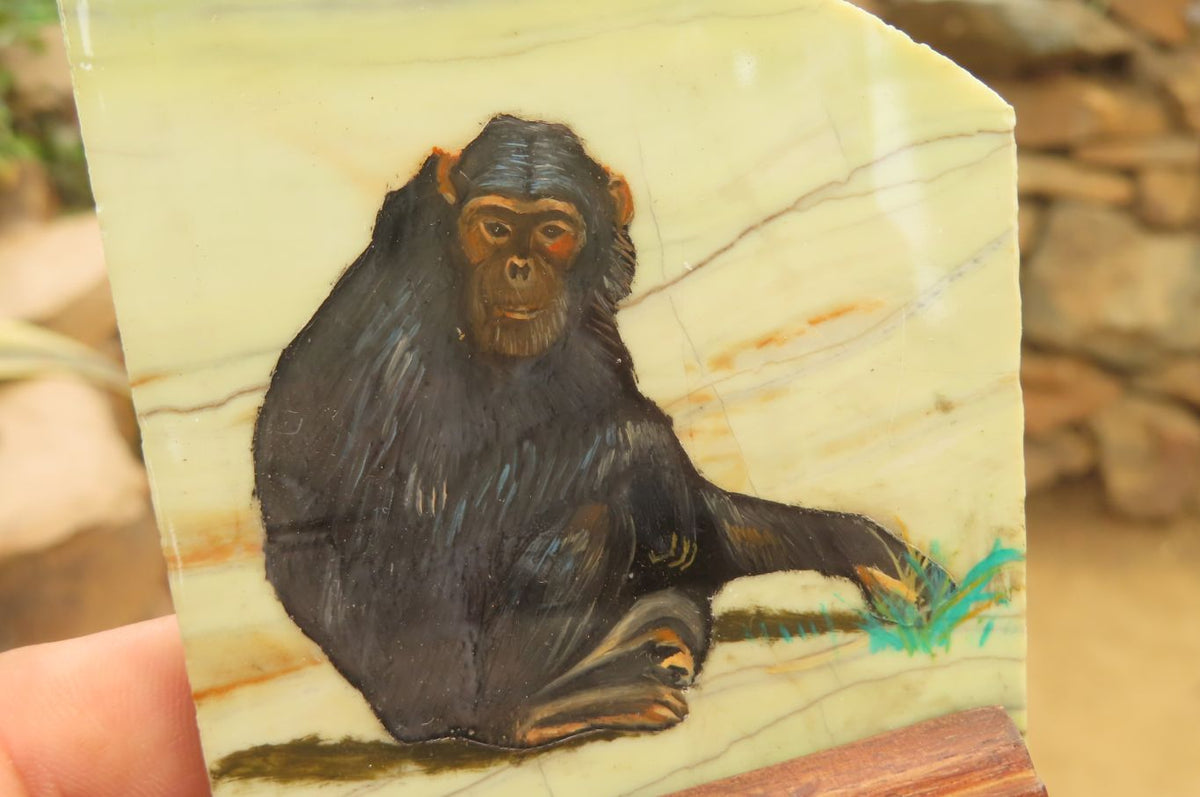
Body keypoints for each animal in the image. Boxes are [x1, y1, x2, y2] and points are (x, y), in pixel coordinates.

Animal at [252, 115, 950, 750]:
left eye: (552, 231)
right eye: (495, 227)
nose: (518, 265)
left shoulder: (593, 317)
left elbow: (699, 513)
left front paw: (870, 550)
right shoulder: (406, 334)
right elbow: (425, 512)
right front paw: (648, 449)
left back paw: (646, 642)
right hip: (427, 685)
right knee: (594, 519)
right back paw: (527, 710)